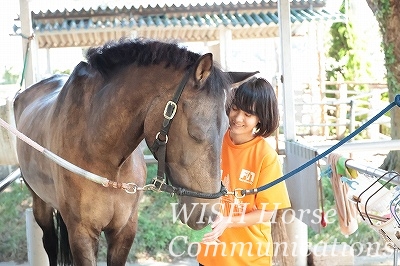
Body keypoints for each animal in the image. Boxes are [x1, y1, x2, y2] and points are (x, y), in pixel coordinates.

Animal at [14, 38, 256, 266]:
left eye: (227, 129)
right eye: (195, 132)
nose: (207, 213)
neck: (105, 159)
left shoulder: (125, 230)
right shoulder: (82, 234)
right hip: (40, 203)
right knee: (49, 242)